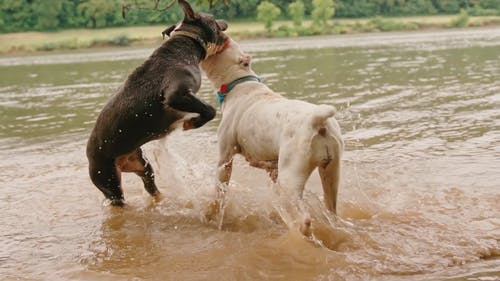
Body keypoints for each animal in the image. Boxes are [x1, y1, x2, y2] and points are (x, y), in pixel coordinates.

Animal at [86, 0, 229, 206]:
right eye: (214, 20)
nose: (225, 21)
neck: (187, 44)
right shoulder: (175, 94)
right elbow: (209, 110)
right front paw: (191, 123)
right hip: (109, 181)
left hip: (141, 165)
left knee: (150, 185)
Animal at [199, 38, 344, 232]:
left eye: (225, 44)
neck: (239, 82)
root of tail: (318, 121)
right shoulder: (273, 168)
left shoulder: (225, 159)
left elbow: (219, 190)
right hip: (331, 172)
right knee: (331, 209)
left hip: (291, 177)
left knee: (304, 219)